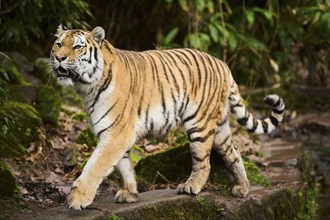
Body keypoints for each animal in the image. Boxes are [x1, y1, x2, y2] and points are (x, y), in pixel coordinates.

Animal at [50, 24, 284, 211]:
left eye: (77, 47)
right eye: (58, 44)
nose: (59, 58)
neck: (85, 88)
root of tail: (223, 64)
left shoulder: (116, 133)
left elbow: (95, 166)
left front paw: (77, 199)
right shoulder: (115, 133)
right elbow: (123, 165)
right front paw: (130, 193)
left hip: (200, 124)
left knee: (203, 162)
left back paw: (191, 186)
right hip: (221, 129)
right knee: (234, 153)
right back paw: (242, 188)